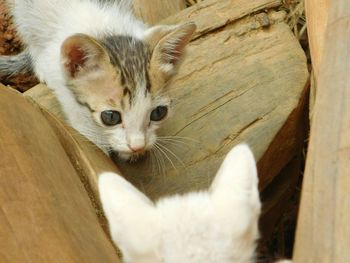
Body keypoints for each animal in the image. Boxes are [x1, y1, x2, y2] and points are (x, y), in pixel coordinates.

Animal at [1, 0, 196, 161]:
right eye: (110, 117)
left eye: (159, 113)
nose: (137, 146)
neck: (103, 29)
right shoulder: (57, 70)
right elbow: (73, 108)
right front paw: (97, 142)